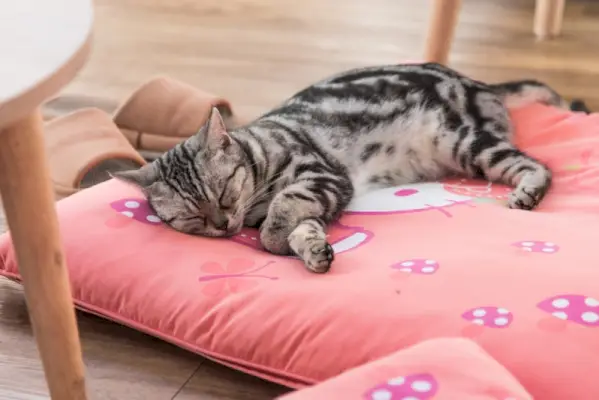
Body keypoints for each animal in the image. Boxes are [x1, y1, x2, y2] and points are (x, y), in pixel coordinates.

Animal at [115, 62, 564, 274]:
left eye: (225, 192)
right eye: (192, 217)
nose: (223, 225)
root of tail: (478, 82)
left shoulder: (323, 176)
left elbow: (284, 205)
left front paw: (272, 237)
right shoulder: (319, 198)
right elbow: (303, 228)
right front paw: (309, 249)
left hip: (461, 141)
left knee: (537, 164)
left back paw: (528, 191)